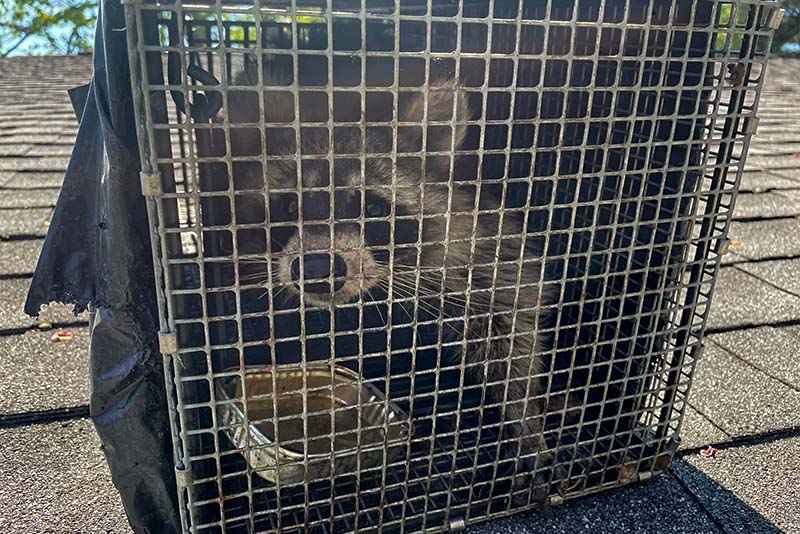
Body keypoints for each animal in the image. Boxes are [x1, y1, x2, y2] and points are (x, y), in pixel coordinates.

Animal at [222, 57, 552, 498]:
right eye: (290, 206)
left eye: (374, 209)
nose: (315, 270)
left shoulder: (477, 246)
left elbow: (510, 322)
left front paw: (524, 421)